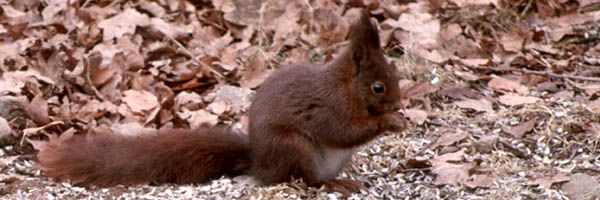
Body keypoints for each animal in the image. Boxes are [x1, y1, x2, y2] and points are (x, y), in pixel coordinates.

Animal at [35, 11, 406, 195]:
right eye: (378, 87)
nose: (399, 103)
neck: (345, 87)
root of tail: (260, 164)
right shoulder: (328, 108)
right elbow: (342, 131)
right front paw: (389, 122)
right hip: (296, 149)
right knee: (307, 180)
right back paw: (333, 183)